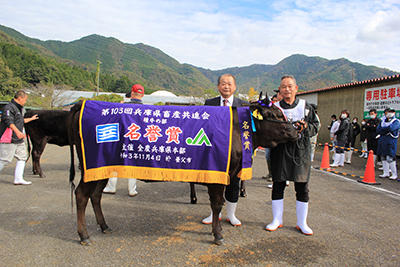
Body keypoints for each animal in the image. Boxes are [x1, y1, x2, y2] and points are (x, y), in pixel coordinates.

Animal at [68, 97, 296, 247]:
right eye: (274, 115)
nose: (296, 129)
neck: (238, 130)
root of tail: (83, 103)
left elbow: (219, 204)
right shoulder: (217, 173)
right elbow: (217, 204)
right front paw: (217, 235)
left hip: (100, 168)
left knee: (95, 195)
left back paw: (104, 226)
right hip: (92, 165)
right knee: (81, 195)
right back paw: (83, 235)